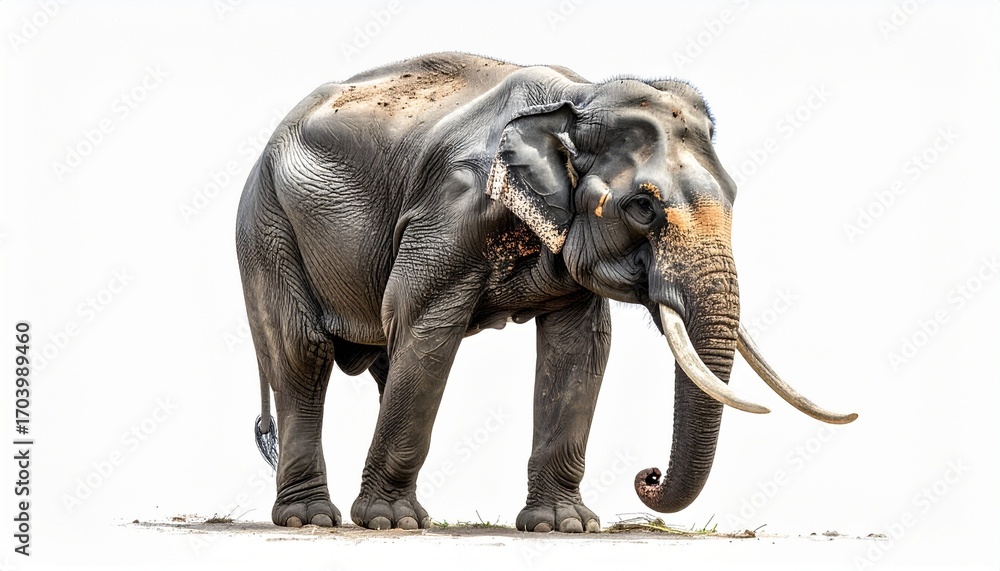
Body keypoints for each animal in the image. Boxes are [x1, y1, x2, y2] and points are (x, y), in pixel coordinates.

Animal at [235, 52, 856, 533]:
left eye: (733, 194)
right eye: (643, 206)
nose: (648, 475)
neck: (576, 98)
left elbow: (579, 348)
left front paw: (565, 526)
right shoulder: (450, 208)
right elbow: (425, 325)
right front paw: (389, 523)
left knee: (384, 357)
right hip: (266, 224)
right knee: (302, 350)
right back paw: (313, 519)